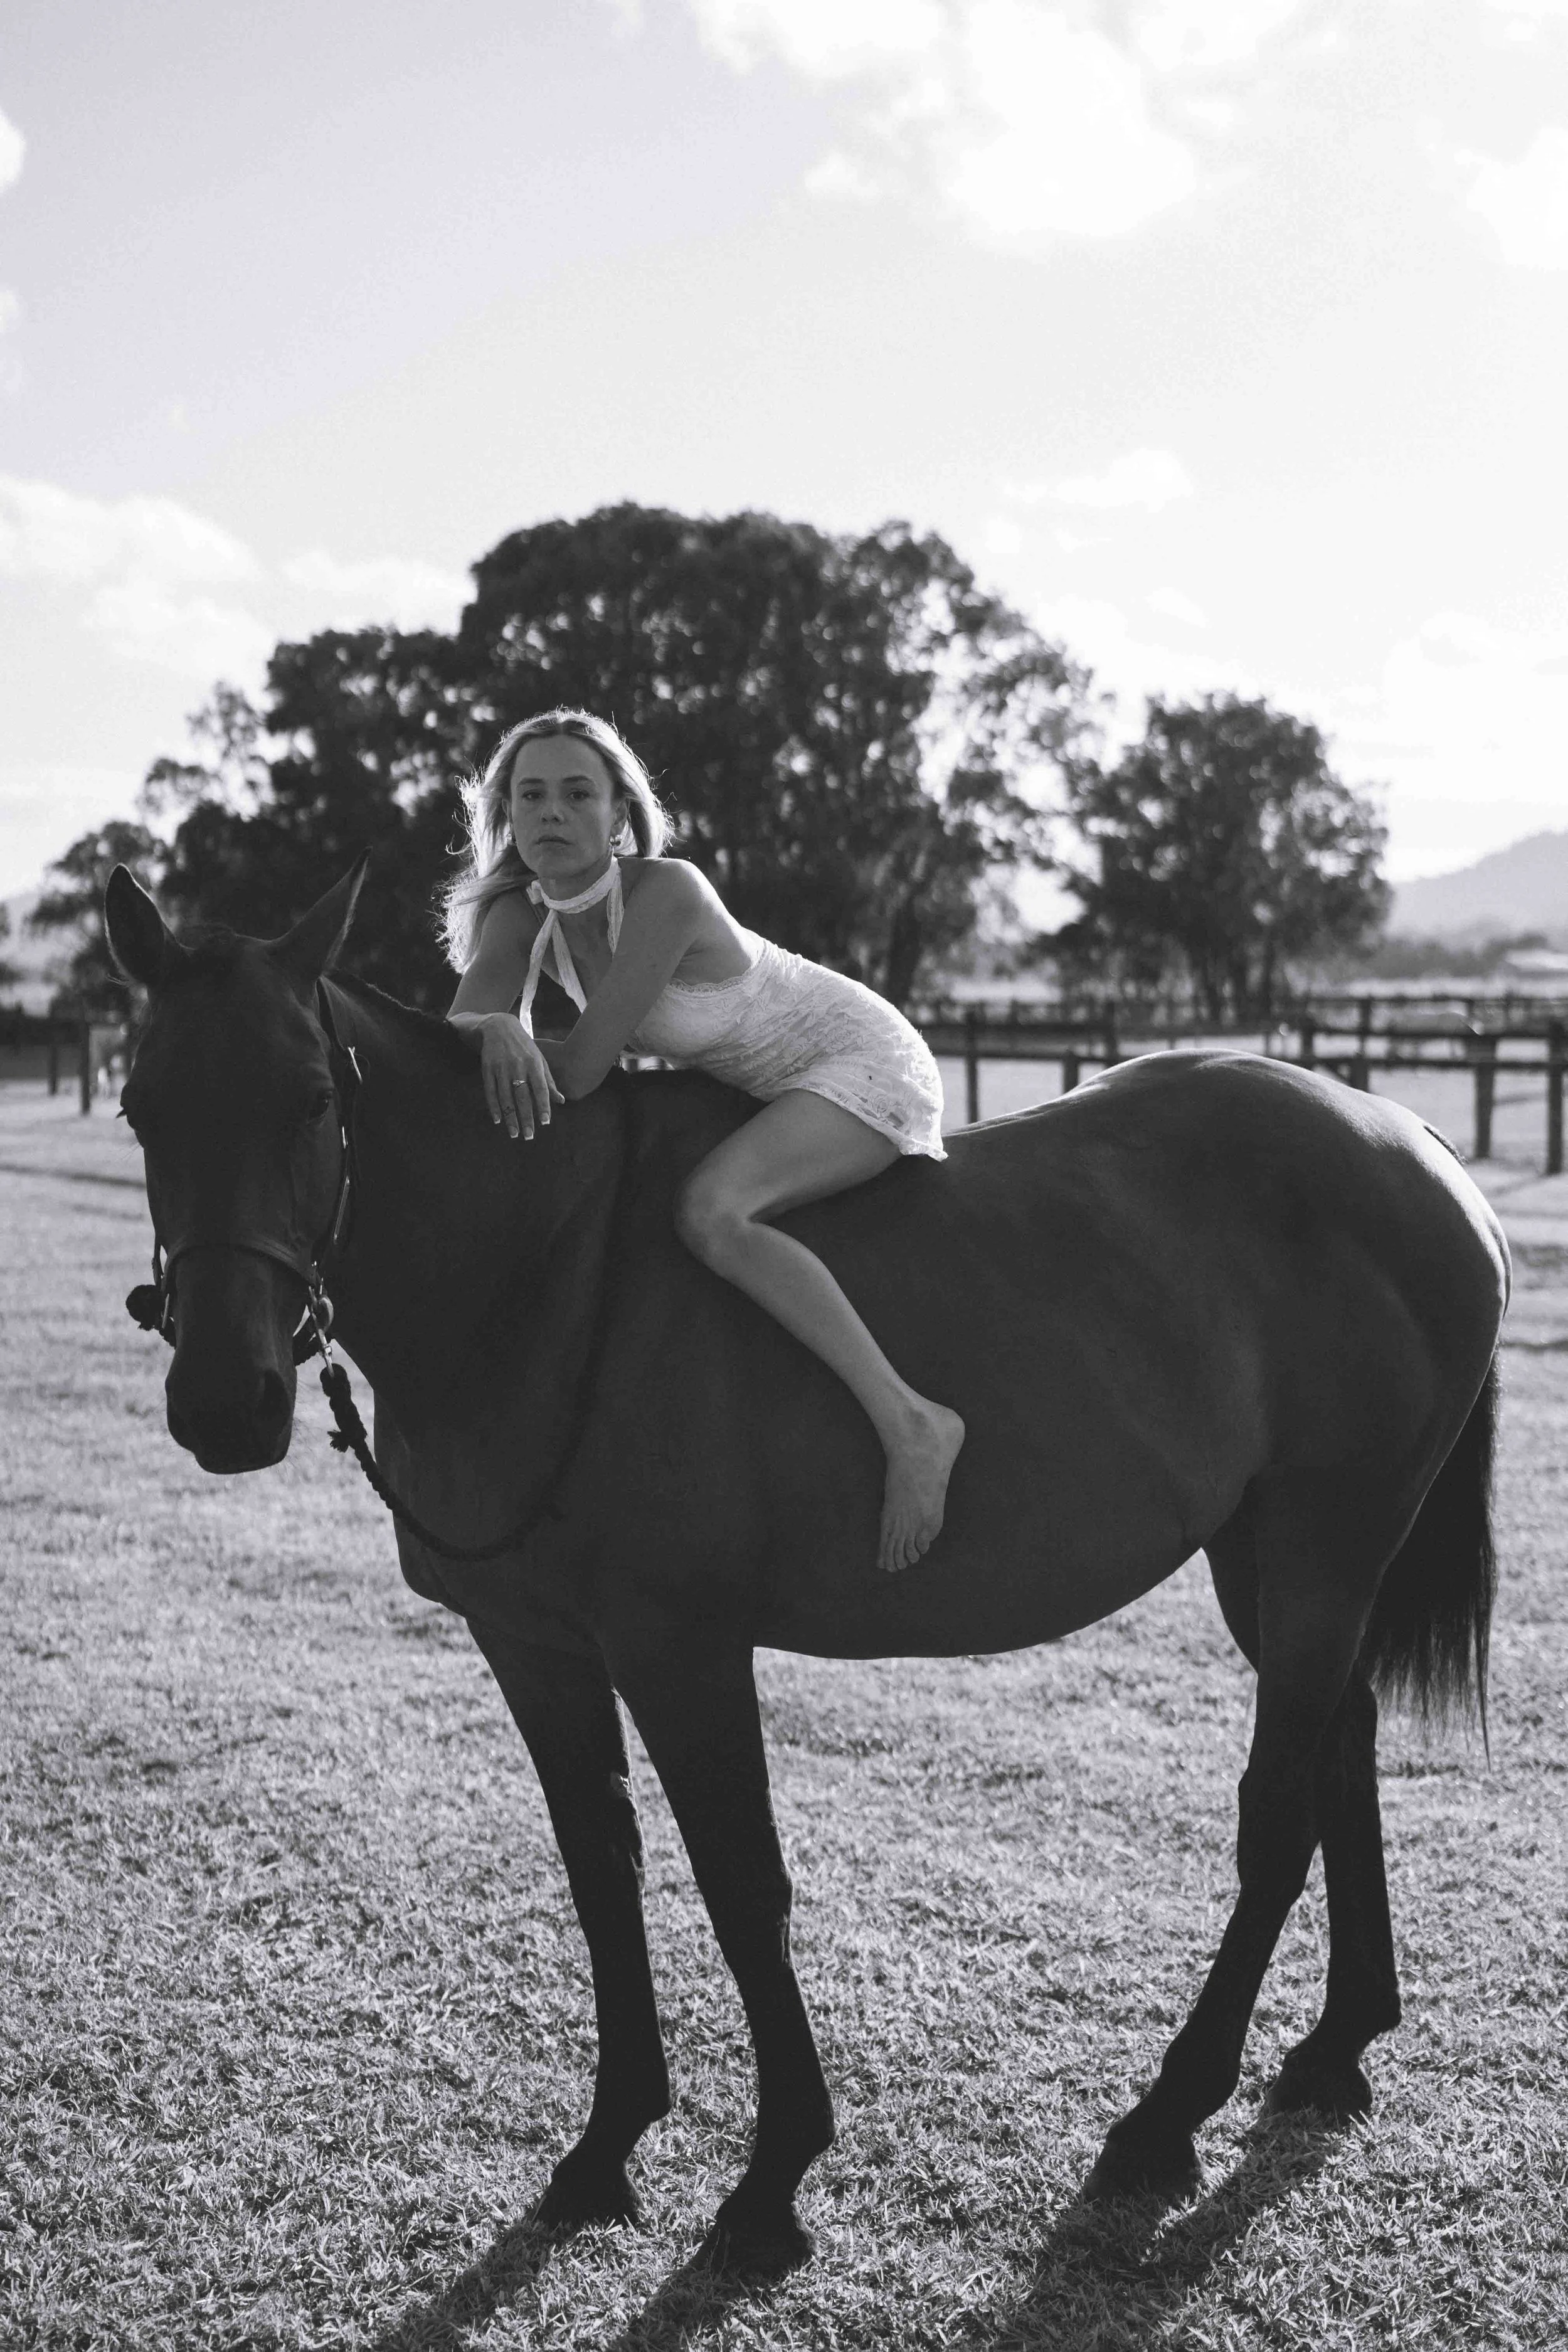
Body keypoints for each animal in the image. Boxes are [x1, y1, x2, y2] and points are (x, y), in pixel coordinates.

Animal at [103, 859, 1508, 2275]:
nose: (225, 1402)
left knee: (1278, 1810)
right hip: (1268, 1555)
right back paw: (1333, 2048)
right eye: (140, 1106)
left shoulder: (682, 1651)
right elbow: (600, 1875)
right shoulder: (535, 1647)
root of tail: (1405, 1138)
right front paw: (606, 2150)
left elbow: (741, 1885)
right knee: (1341, 1753)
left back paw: (1166, 2118)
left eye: (311, 1097)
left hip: (1322, 1545)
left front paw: (771, 2179)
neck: (541, 1274)